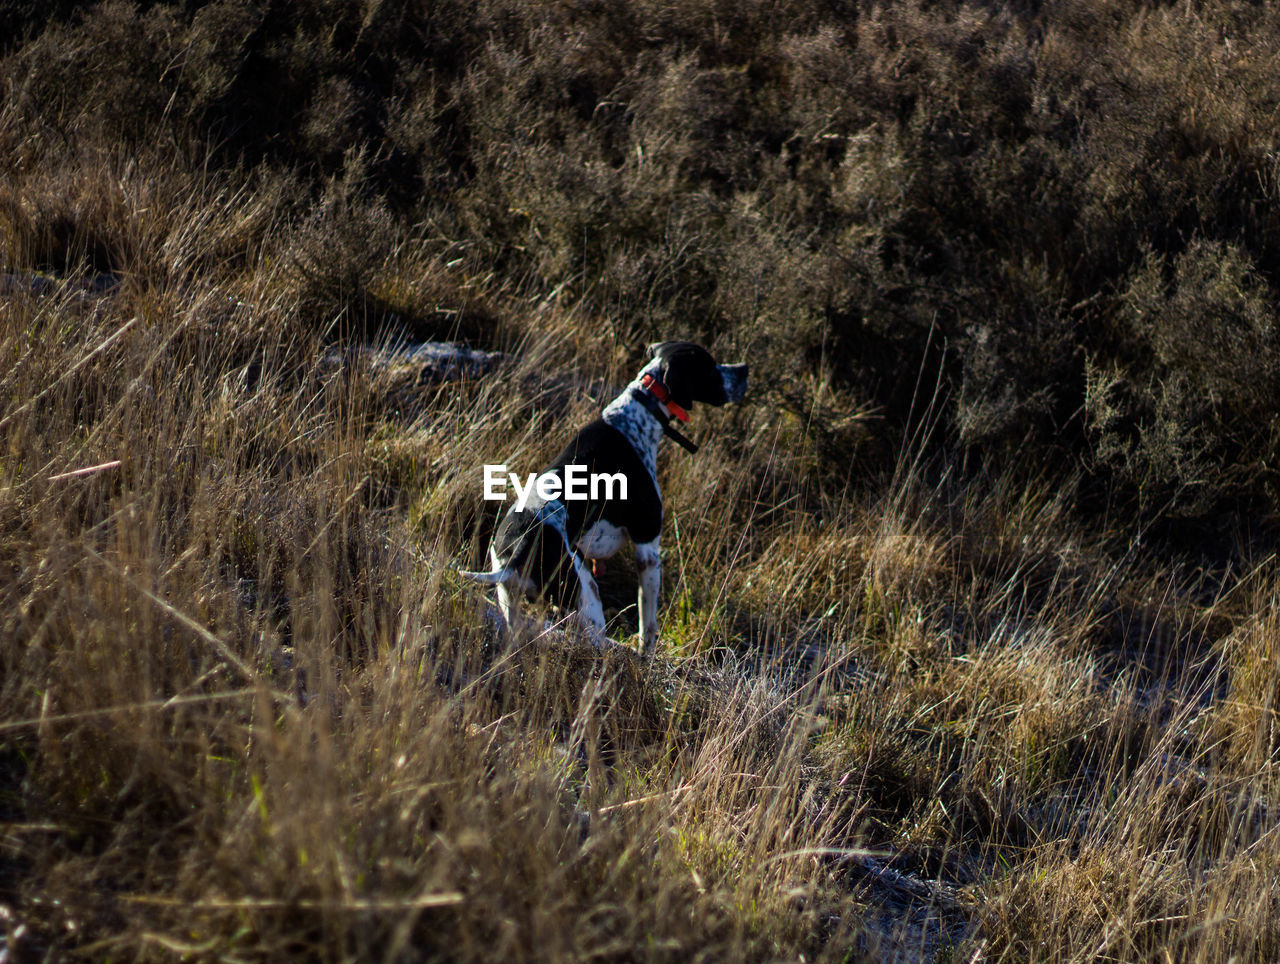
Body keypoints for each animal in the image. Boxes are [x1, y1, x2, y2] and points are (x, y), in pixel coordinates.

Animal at [460, 340, 747, 655]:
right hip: (588, 598)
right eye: (709, 365)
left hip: (511, 603)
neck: (639, 410)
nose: (744, 369)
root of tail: (517, 554)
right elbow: (648, 625)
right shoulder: (647, 550)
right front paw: (646, 657)